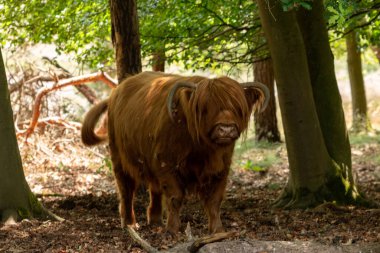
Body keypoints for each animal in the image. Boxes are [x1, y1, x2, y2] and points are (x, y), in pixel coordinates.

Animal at [81, 71, 268, 235]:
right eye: (205, 108)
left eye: (238, 107)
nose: (226, 129)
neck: (202, 149)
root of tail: (116, 92)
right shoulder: (166, 163)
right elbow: (175, 197)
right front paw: (172, 230)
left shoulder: (221, 168)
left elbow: (215, 200)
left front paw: (218, 230)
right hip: (119, 157)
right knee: (126, 188)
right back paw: (129, 223)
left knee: (154, 189)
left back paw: (155, 220)